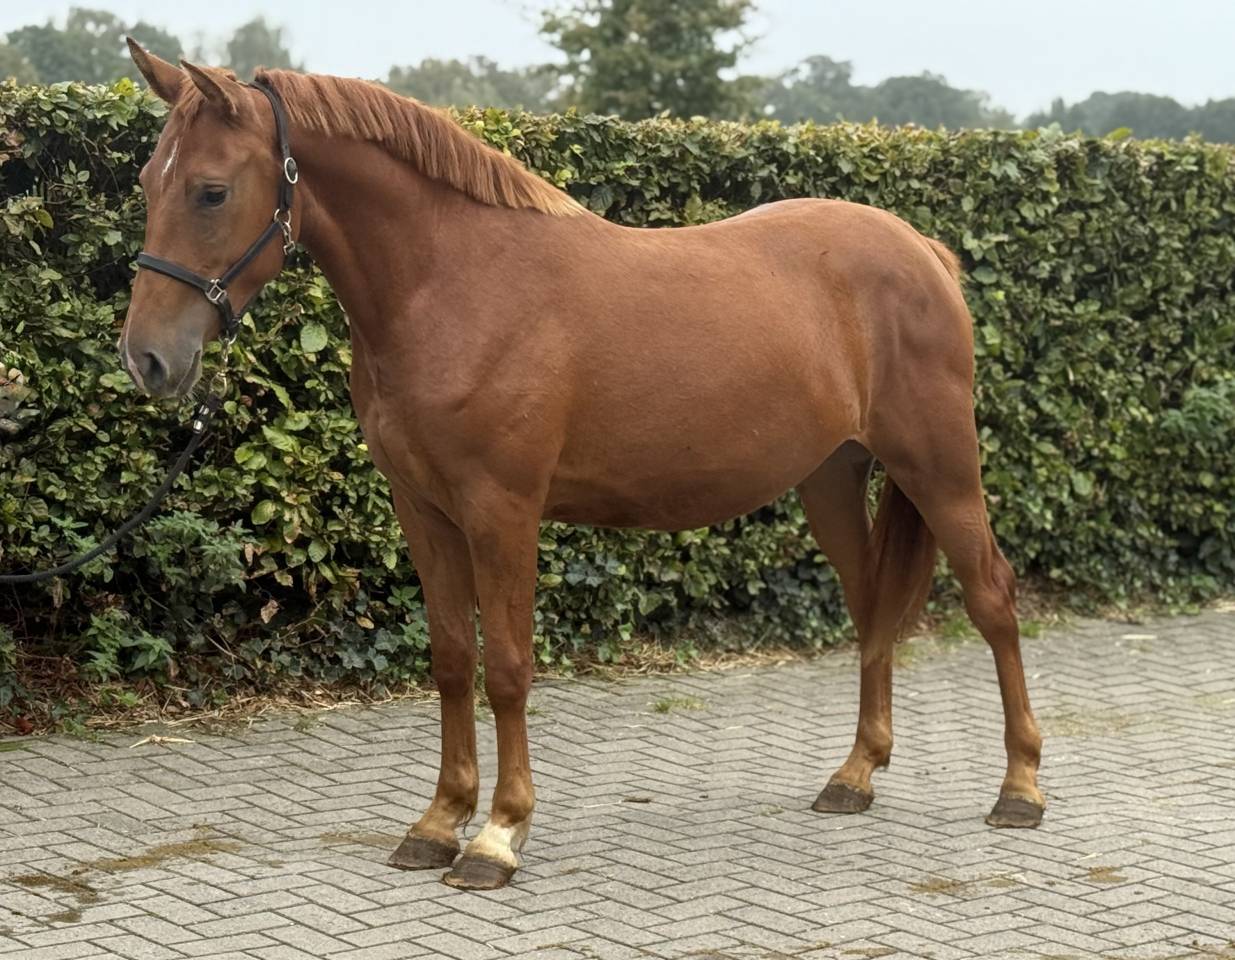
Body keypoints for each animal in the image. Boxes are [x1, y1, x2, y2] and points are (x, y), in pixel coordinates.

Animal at [120, 41, 1043, 890]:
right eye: (146, 186)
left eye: (210, 190)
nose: (148, 359)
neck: (456, 285)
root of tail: (922, 249)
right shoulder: (422, 508)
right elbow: (451, 661)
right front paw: (437, 822)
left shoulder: (501, 510)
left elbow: (508, 669)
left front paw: (496, 836)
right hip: (831, 478)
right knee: (870, 608)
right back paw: (853, 777)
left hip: (941, 465)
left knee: (993, 599)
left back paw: (1019, 788)